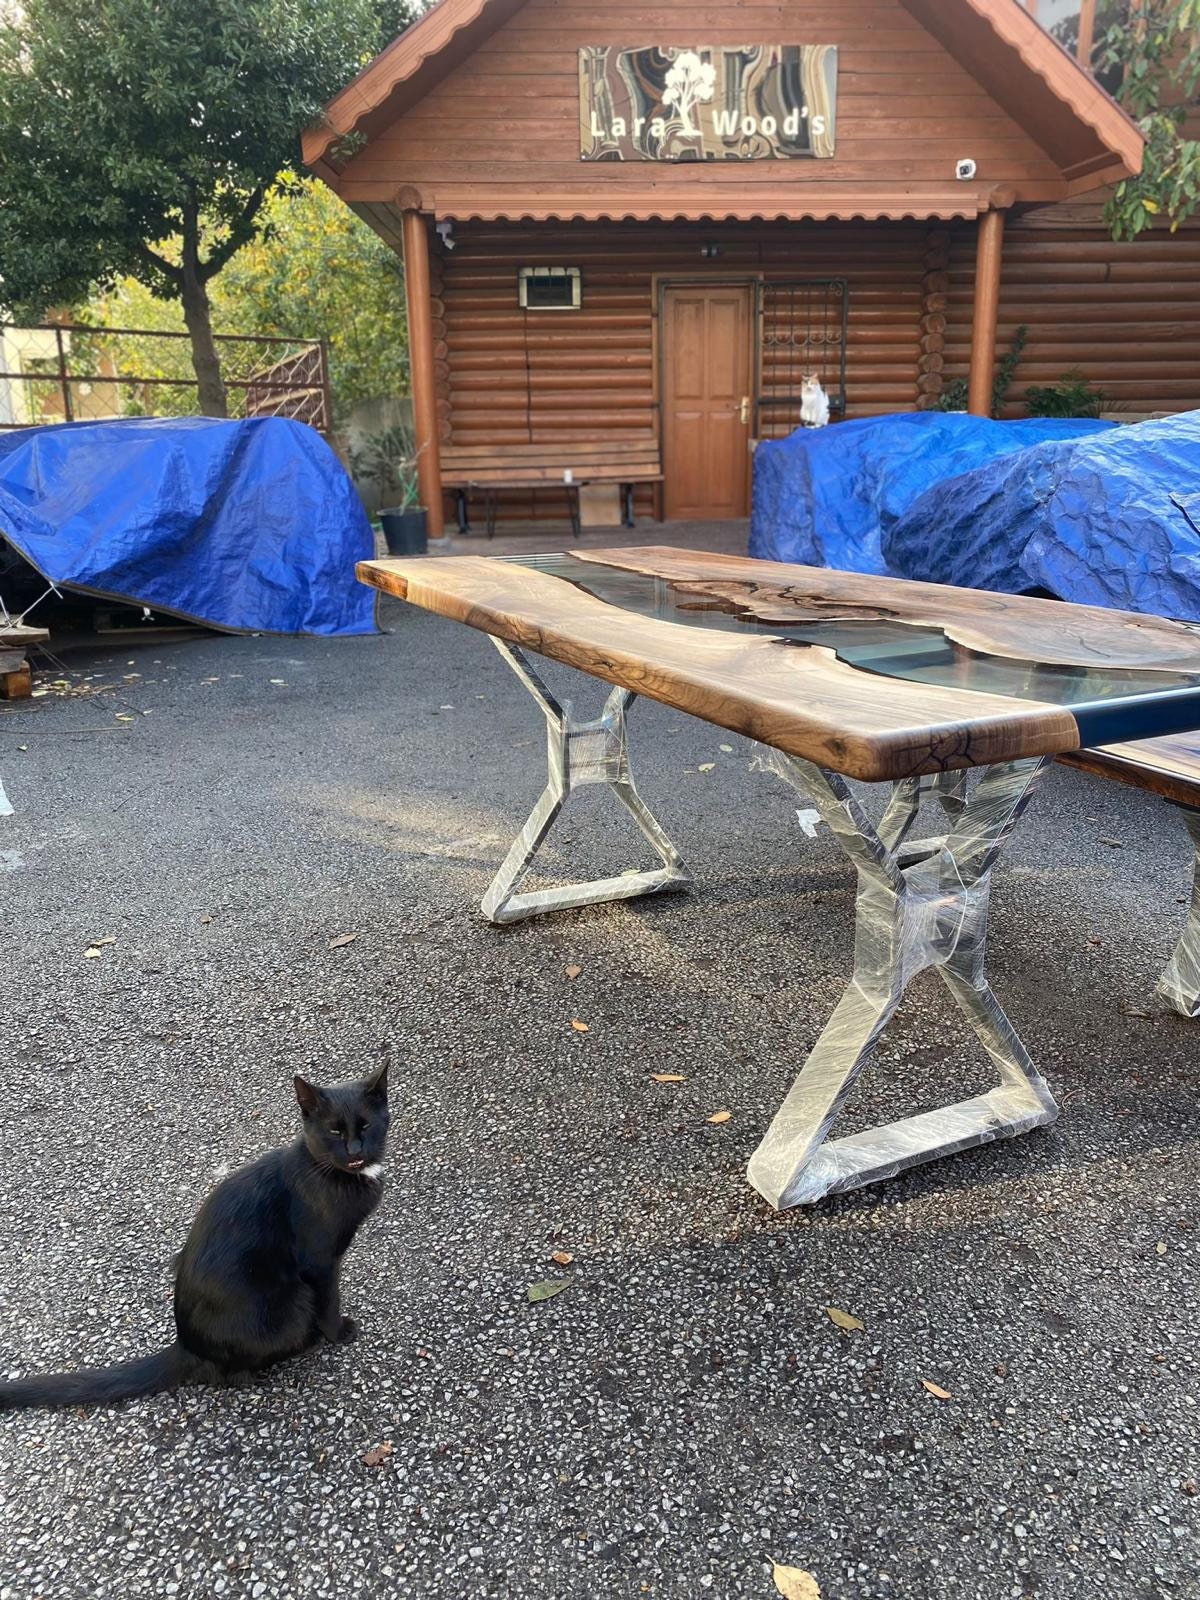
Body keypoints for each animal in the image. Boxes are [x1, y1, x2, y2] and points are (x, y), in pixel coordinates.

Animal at [0, 1068, 390, 1408]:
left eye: (366, 1126)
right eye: (334, 1131)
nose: (355, 1150)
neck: (333, 1173)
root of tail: (187, 1345)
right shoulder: (320, 1261)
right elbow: (329, 1299)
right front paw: (338, 1332)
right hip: (291, 1301)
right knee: (234, 1375)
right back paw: (301, 1345)